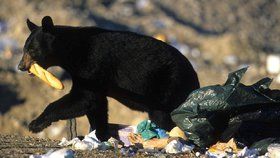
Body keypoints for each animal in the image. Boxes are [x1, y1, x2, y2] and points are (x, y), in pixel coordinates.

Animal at [18, 15, 199, 139]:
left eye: (33, 50)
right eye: (24, 49)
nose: (21, 66)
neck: (72, 51)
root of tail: (194, 78)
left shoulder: (91, 65)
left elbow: (84, 98)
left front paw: (35, 124)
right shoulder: (91, 77)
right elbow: (96, 104)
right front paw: (100, 134)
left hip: (168, 87)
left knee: (164, 117)